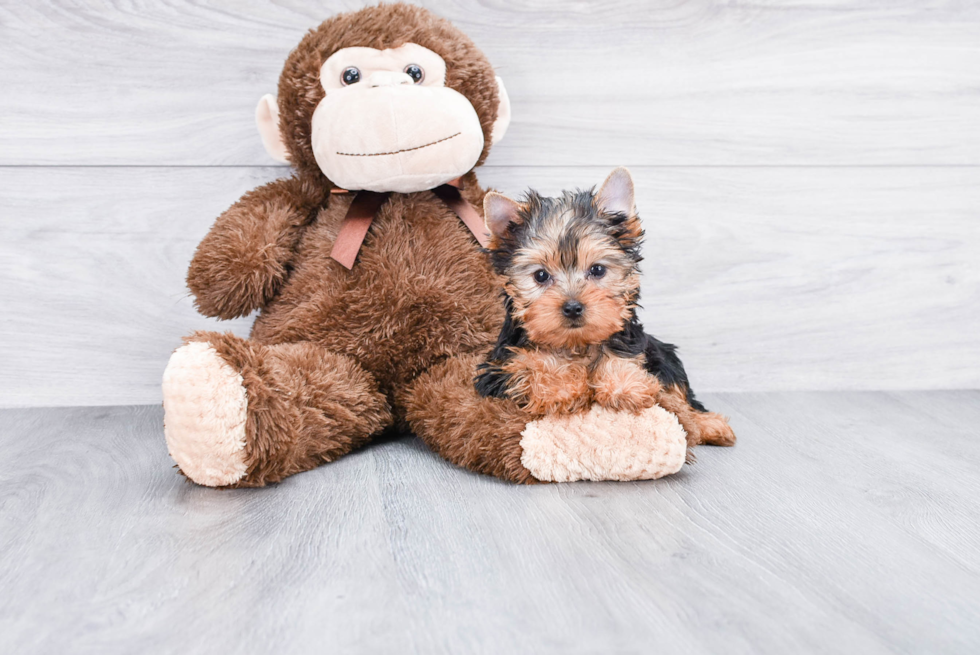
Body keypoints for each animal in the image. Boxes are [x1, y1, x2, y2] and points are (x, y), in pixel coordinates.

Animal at [474, 167, 736, 448]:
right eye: (541, 276)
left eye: (597, 270)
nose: (573, 307)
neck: (576, 344)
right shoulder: (497, 370)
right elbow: (529, 367)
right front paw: (560, 387)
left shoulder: (629, 339)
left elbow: (619, 354)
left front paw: (624, 386)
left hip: (665, 356)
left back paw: (709, 424)